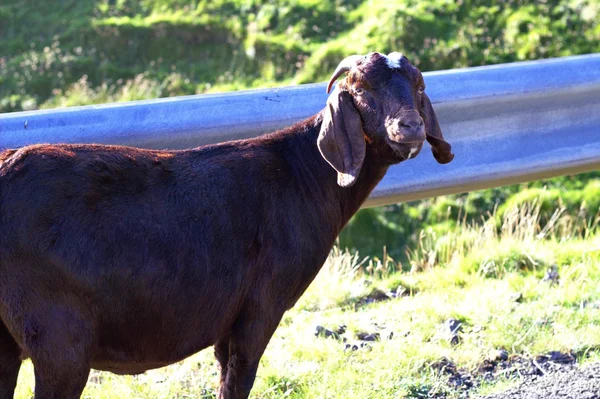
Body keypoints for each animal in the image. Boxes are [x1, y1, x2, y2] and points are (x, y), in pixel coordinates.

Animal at [0, 51, 452, 398]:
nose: (410, 127)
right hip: (60, 337)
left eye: (419, 88)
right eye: (361, 91)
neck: (303, 173)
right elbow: (237, 379)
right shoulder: (260, 306)